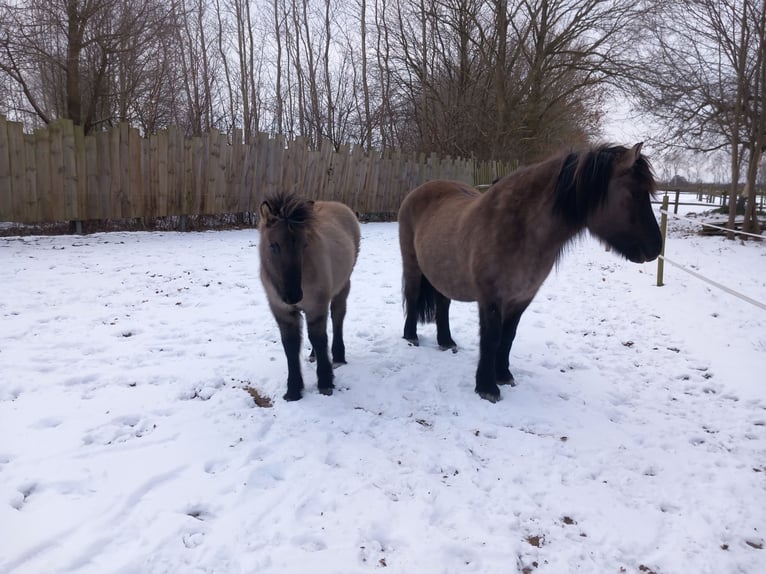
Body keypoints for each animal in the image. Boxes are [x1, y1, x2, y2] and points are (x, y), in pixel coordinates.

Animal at [259, 191, 360, 401]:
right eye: (273, 246)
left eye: (304, 244)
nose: (293, 295)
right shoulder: (282, 311)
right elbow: (290, 345)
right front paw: (293, 390)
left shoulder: (316, 305)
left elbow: (319, 338)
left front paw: (325, 382)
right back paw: (314, 355)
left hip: (343, 285)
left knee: (337, 317)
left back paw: (338, 356)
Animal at [397, 143, 662, 402]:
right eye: (635, 193)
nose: (656, 248)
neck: (519, 229)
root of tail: (418, 191)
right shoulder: (491, 299)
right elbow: (491, 339)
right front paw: (487, 387)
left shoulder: (522, 298)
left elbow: (508, 337)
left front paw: (504, 376)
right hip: (412, 265)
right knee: (412, 297)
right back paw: (411, 337)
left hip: (443, 274)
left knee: (443, 304)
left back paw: (446, 342)